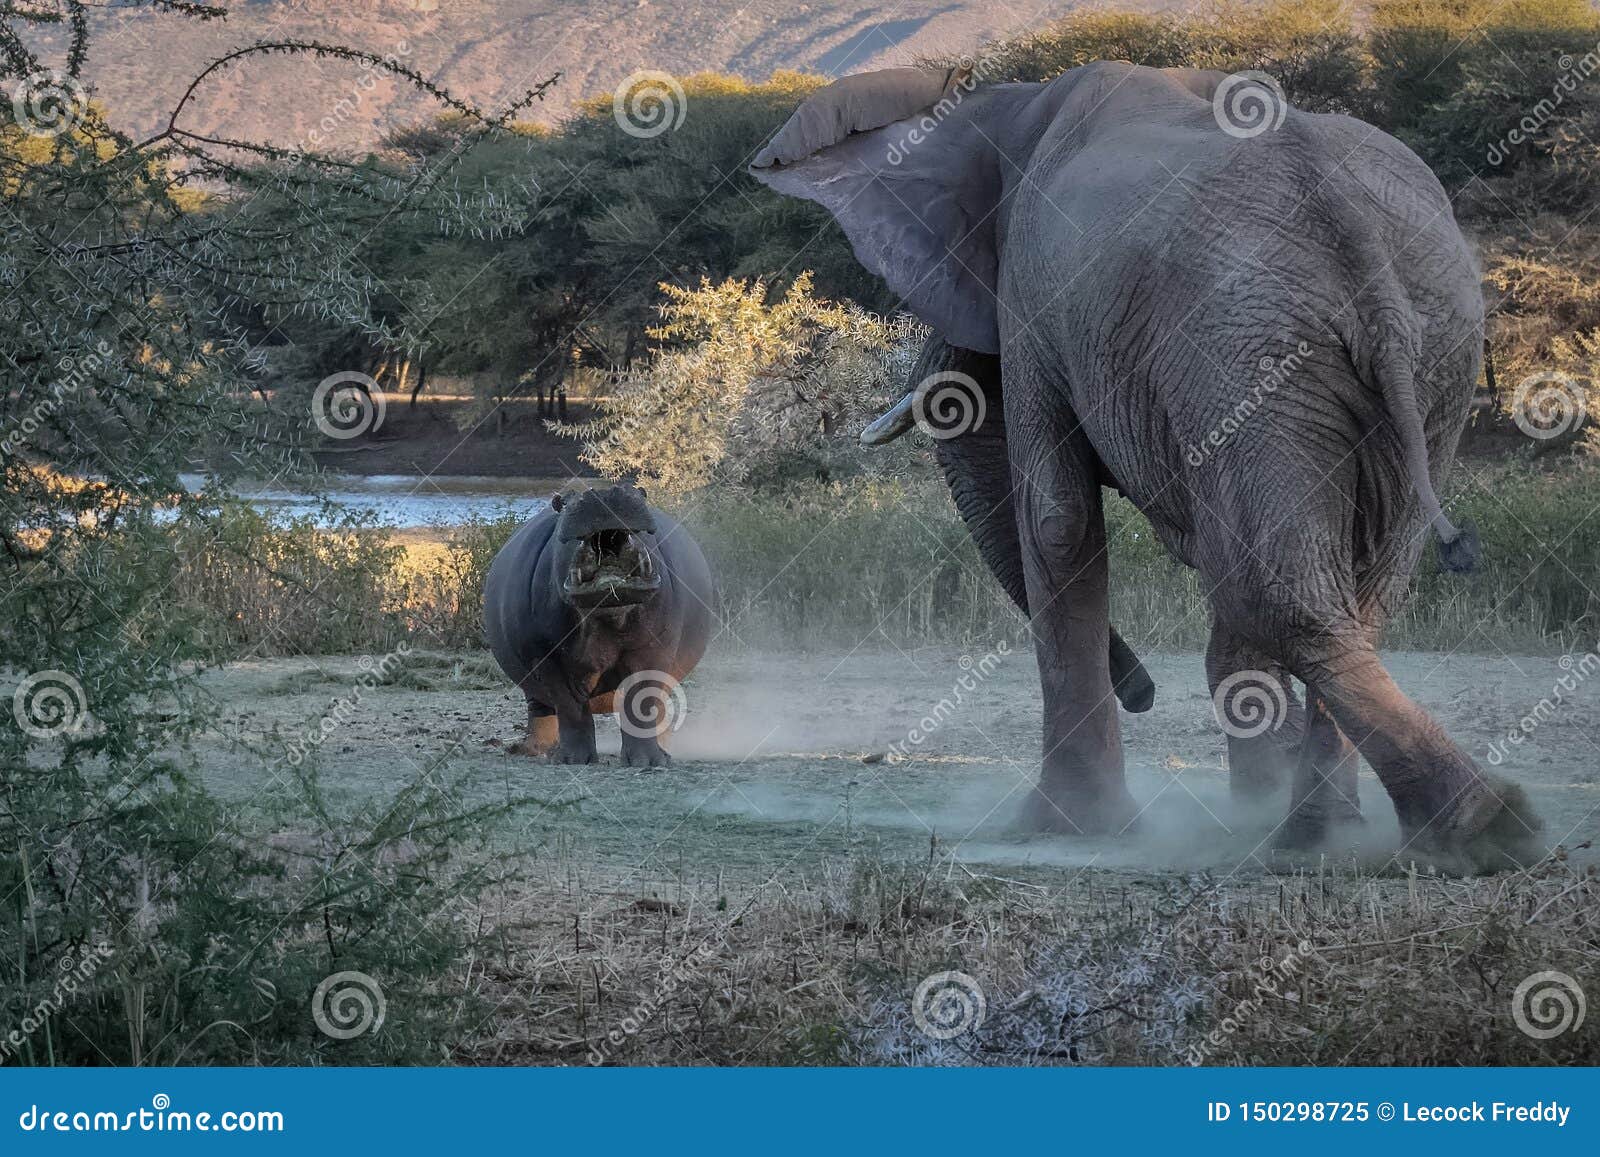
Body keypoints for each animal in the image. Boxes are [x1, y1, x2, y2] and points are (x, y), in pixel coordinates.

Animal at [480, 483, 713, 764]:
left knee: (659, 704)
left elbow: (642, 699)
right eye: (562, 503)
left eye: (640, 491)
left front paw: (649, 762)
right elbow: (569, 706)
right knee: (540, 710)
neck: (606, 614)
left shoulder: (653, 649)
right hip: (533, 680)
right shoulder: (546, 658)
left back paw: (665, 748)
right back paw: (535, 750)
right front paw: (572, 760)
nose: (604, 494)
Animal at [755, 58, 1542, 864]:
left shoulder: (1033, 295)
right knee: (1359, 582)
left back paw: (1471, 827)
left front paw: (1068, 827)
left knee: (1273, 585)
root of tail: (1354, 227)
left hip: (1249, 353)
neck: (1014, 100)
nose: (1143, 694)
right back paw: (1332, 834)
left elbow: (1057, 519)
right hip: (1422, 352)